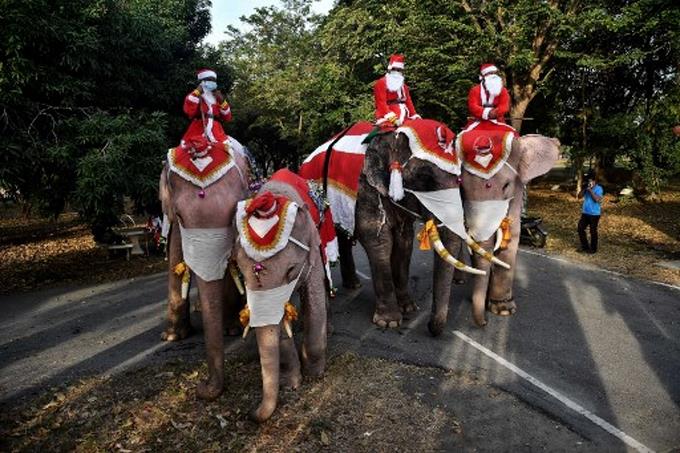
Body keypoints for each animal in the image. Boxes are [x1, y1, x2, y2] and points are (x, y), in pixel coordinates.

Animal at [159, 135, 250, 400]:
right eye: (180, 215)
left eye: (234, 210)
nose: (202, 387)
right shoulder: (175, 224)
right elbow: (175, 258)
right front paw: (172, 337)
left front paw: (230, 330)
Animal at [234, 168, 330, 422]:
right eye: (241, 273)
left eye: (291, 270)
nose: (251, 413)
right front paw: (291, 384)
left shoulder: (311, 250)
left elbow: (314, 299)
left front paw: (315, 375)